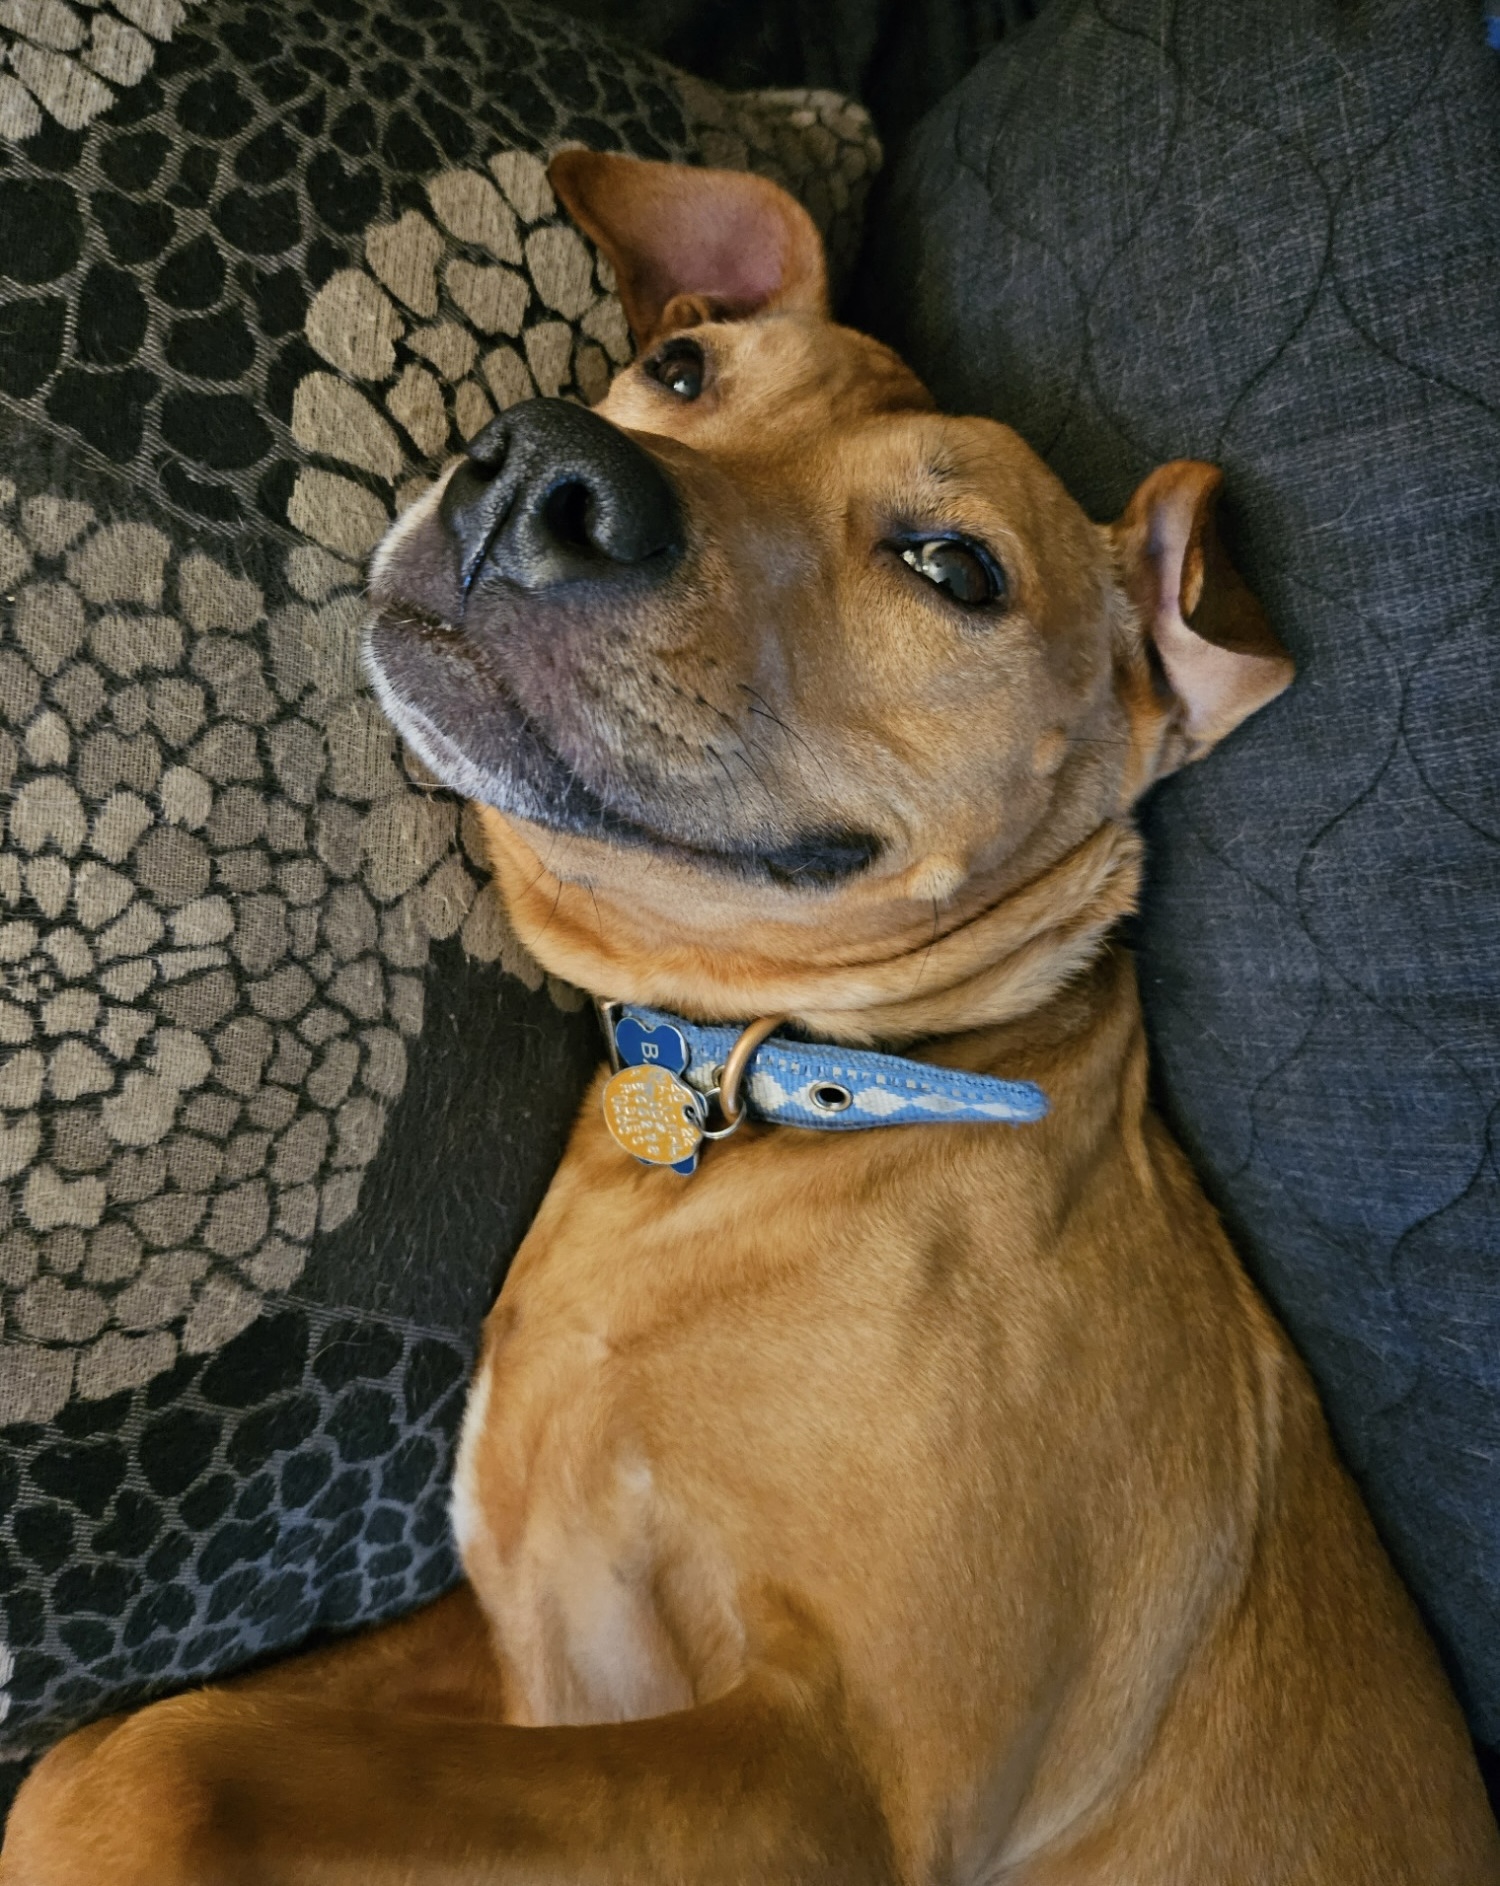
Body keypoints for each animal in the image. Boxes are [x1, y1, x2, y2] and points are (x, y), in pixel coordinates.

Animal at [2, 158, 1500, 1886]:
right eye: (682, 371)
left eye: (956, 568)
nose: (542, 472)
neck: (807, 1088)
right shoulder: (511, 1629)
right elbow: (140, 1740)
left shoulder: (841, 1774)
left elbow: (152, 1770)